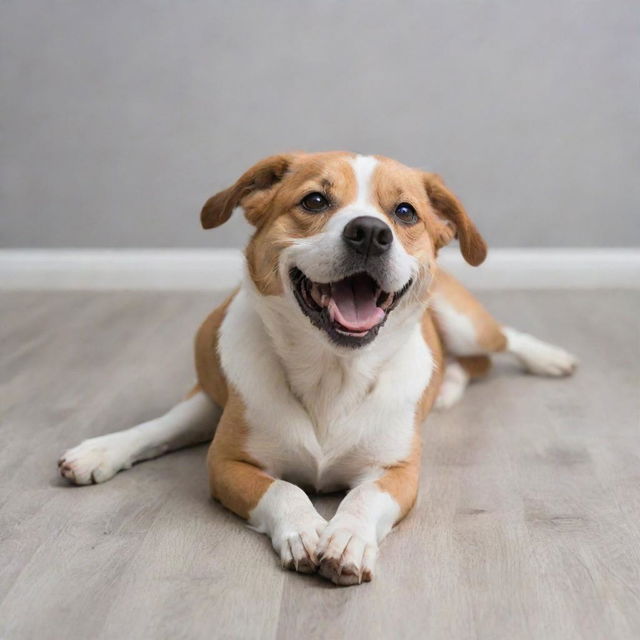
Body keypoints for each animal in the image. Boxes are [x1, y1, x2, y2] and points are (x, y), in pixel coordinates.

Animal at [57, 152, 576, 588]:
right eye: (315, 200)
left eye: (405, 212)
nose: (370, 232)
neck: (334, 372)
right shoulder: (226, 463)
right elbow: (283, 488)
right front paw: (306, 529)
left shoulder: (399, 473)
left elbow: (364, 497)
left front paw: (346, 538)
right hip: (212, 390)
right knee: (167, 422)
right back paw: (100, 451)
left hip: (463, 321)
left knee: (498, 343)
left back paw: (541, 359)